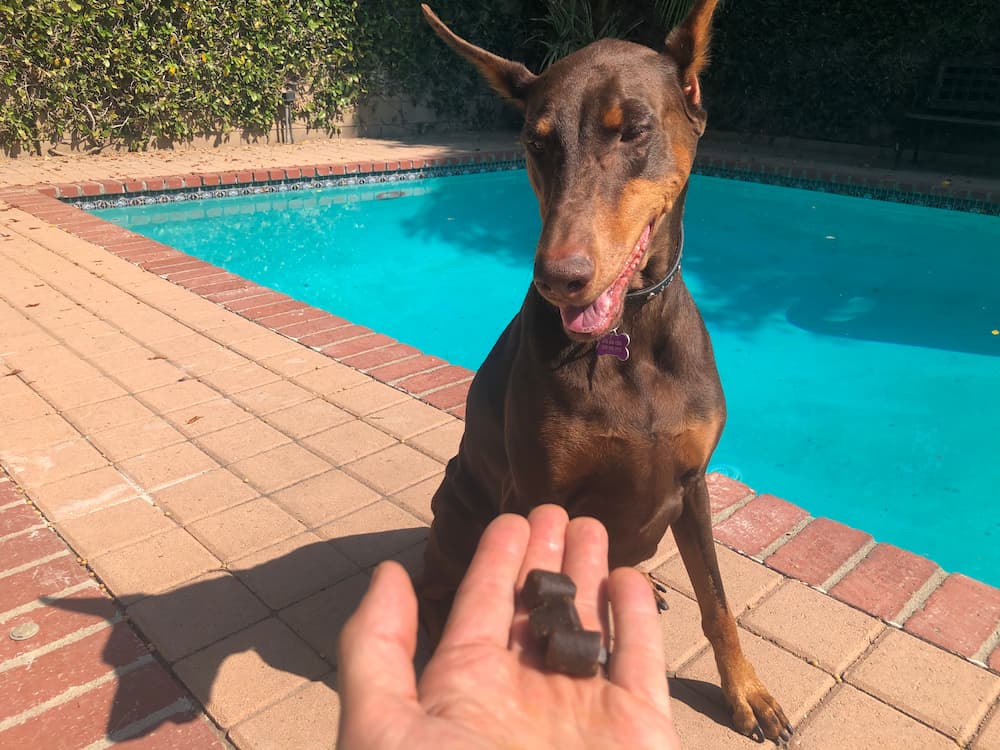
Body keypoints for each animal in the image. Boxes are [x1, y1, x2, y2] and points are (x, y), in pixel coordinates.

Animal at [418, 1, 792, 748]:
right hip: (458, 503)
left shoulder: (693, 480)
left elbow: (717, 600)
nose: (558, 277)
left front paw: (746, 692)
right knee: (444, 579)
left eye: (634, 130)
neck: (629, 340)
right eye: (536, 144)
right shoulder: (539, 494)